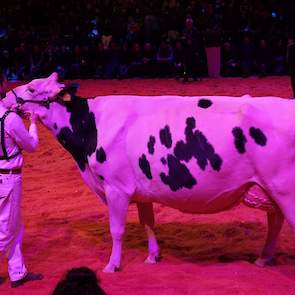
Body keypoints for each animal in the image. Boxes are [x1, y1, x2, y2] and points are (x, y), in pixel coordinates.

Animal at [1, 73, 294, 272]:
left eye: (32, 87)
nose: (4, 96)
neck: (90, 126)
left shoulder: (116, 188)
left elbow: (117, 229)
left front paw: (112, 265)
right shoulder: (142, 189)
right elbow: (148, 223)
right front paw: (153, 256)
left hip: (285, 190)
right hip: (270, 188)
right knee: (274, 221)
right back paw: (263, 258)